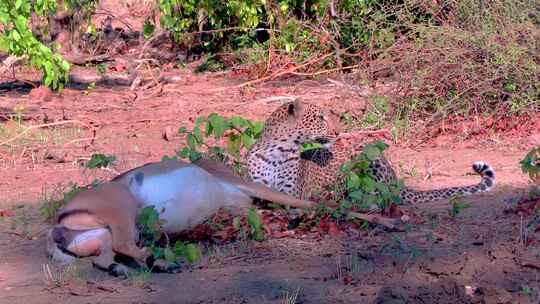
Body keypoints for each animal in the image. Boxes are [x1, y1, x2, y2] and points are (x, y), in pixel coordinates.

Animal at [247, 100, 496, 204]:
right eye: (320, 118)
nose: (338, 132)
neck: (276, 152)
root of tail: (395, 179)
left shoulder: (291, 194)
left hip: (370, 156)